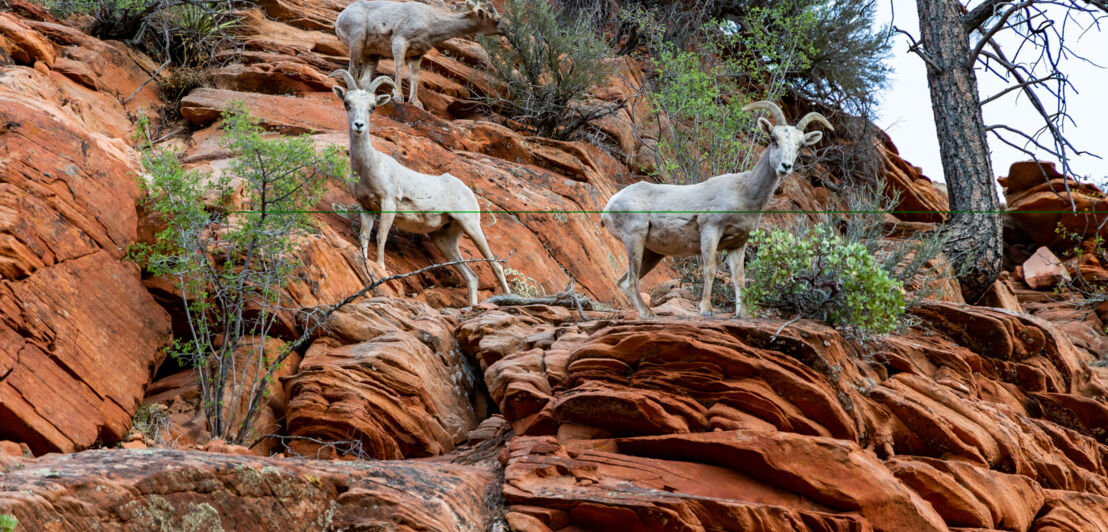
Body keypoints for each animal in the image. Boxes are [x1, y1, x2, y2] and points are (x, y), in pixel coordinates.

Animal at [334, 0, 505, 109]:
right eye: (497, 20)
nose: (505, 30)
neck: (430, 23)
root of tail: (341, 17)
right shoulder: (399, 41)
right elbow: (399, 67)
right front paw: (398, 96)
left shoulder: (416, 55)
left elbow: (414, 76)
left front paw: (416, 103)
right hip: (357, 41)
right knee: (352, 70)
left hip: (371, 55)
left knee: (364, 78)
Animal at [607, 99, 833, 314]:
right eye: (773, 139)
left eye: (800, 145)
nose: (786, 166)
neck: (744, 194)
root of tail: (610, 205)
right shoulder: (710, 231)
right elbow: (710, 270)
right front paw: (706, 310)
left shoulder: (737, 244)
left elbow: (739, 278)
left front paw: (742, 314)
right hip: (635, 239)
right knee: (631, 282)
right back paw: (648, 314)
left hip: (652, 253)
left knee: (623, 282)